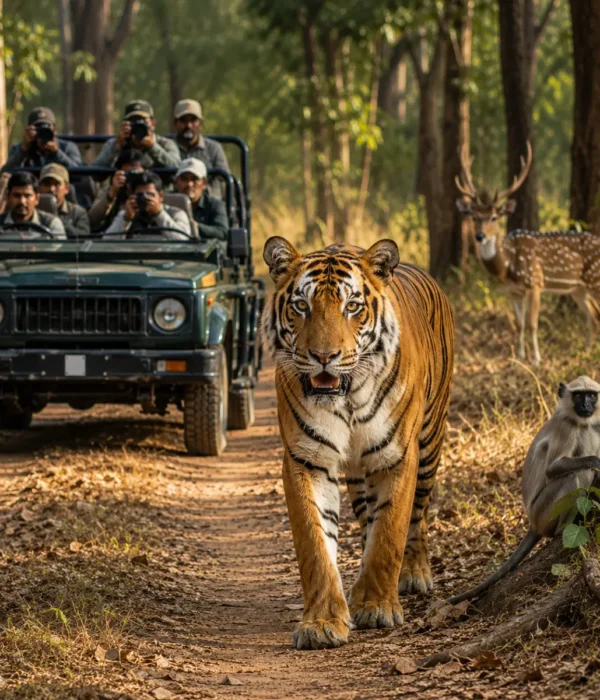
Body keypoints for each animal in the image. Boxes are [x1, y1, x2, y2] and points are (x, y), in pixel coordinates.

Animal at [261, 236, 454, 650]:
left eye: (352, 306)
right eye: (301, 306)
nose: (324, 357)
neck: (346, 398)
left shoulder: (397, 456)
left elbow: (390, 532)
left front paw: (378, 607)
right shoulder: (308, 459)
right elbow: (316, 545)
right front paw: (322, 623)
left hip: (430, 442)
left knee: (418, 516)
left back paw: (413, 574)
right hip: (357, 473)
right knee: (367, 518)